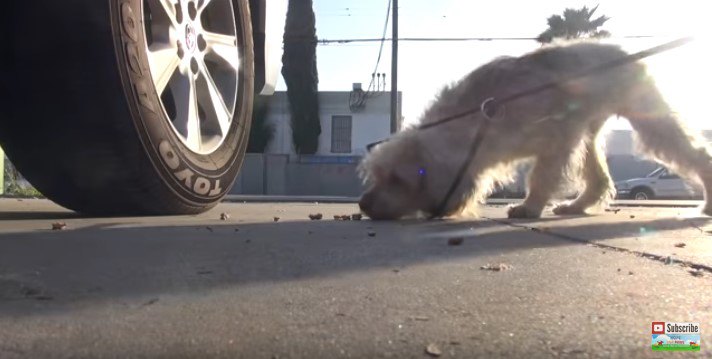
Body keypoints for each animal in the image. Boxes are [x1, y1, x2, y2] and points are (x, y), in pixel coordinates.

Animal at [358, 41, 712, 221]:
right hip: (589, 133)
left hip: (647, 118)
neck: (477, 123)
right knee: (599, 179)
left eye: (397, 180)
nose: (362, 204)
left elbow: (542, 176)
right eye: (377, 176)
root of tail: (623, 52)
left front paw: (530, 207)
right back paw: (576, 205)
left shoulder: (559, 138)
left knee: (695, 153)